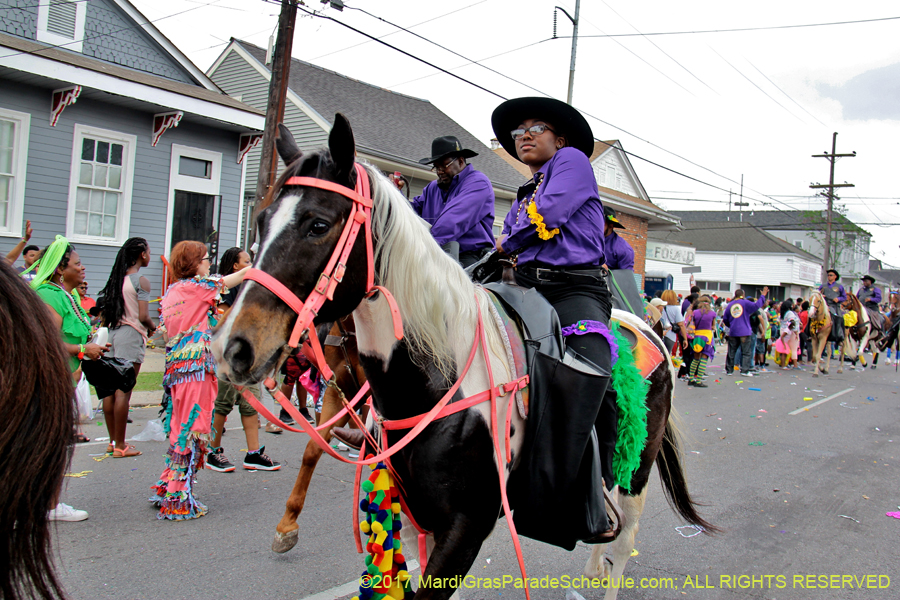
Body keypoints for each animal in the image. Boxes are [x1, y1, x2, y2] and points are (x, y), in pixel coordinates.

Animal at [213, 117, 716, 600]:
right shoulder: (418, 515)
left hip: (637, 471)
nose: (232, 348)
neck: (437, 375)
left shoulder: (466, 528)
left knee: (624, 543)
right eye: (260, 220)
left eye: (317, 224)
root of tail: (648, 327)